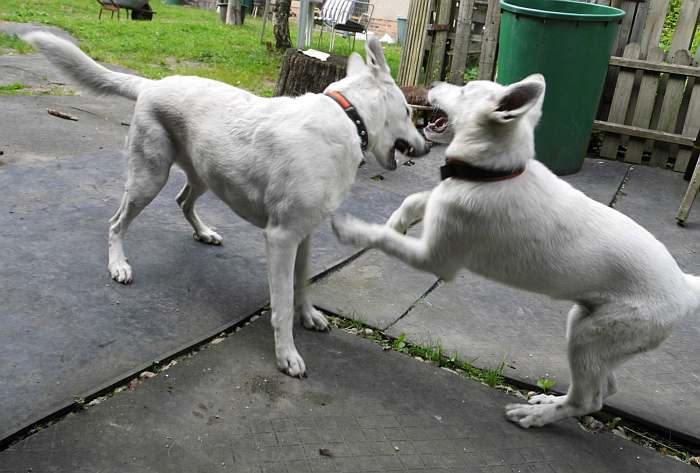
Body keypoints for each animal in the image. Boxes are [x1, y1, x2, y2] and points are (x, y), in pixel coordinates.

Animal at [24, 33, 430, 376]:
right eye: (410, 113)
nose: (426, 147)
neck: (348, 116)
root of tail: (152, 84)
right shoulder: (282, 237)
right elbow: (282, 304)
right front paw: (287, 354)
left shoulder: (305, 236)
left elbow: (302, 283)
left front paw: (309, 316)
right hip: (147, 180)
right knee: (115, 222)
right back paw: (118, 265)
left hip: (204, 176)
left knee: (182, 200)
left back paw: (204, 233)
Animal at [334, 74, 700, 428]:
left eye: (465, 90)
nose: (433, 83)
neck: (491, 176)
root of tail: (684, 287)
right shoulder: (440, 207)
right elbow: (414, 201)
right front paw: (396, 222)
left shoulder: (436, 259)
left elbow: (389, 238)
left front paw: (355, 230)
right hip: (589, 327)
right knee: (605, 387)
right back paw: (548, 401)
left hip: (590, 336)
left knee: (588, 400)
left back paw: (535, 416)